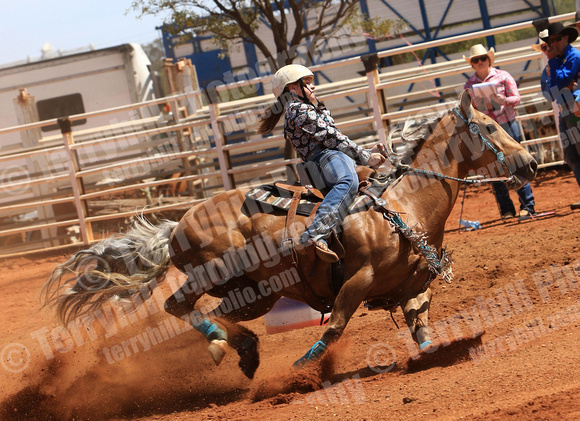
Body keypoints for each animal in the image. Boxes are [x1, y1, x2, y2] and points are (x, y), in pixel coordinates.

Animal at [42, 91, 540, 378]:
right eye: (490, 126)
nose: (531, 164)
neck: (403, 208)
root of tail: (178, 223)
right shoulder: (356, 280)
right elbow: (336, 326)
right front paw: (304, 367)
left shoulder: (414, 288)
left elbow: (422, 330)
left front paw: (435, 355)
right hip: (213, 272)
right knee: (176, 305)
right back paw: (224, 346)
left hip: (254, 293)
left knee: (220, 315)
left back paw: (243, 351)